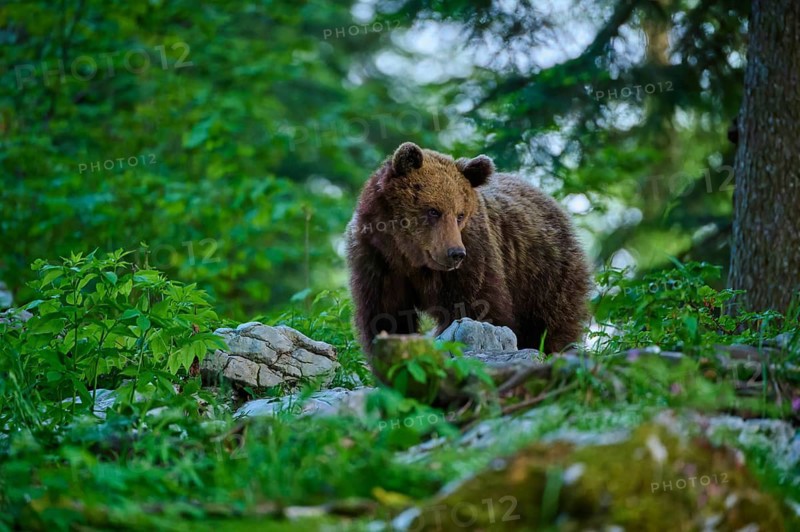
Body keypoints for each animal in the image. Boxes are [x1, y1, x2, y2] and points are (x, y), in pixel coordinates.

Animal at [345, 142, 591, 359]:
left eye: (460, 214)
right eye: (433, 210)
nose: (455, 253)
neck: (408, 256)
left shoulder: (473, 256)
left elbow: (478, 308)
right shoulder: (376, 260)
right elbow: (386, 316)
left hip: (543, 273)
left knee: (550, 325)